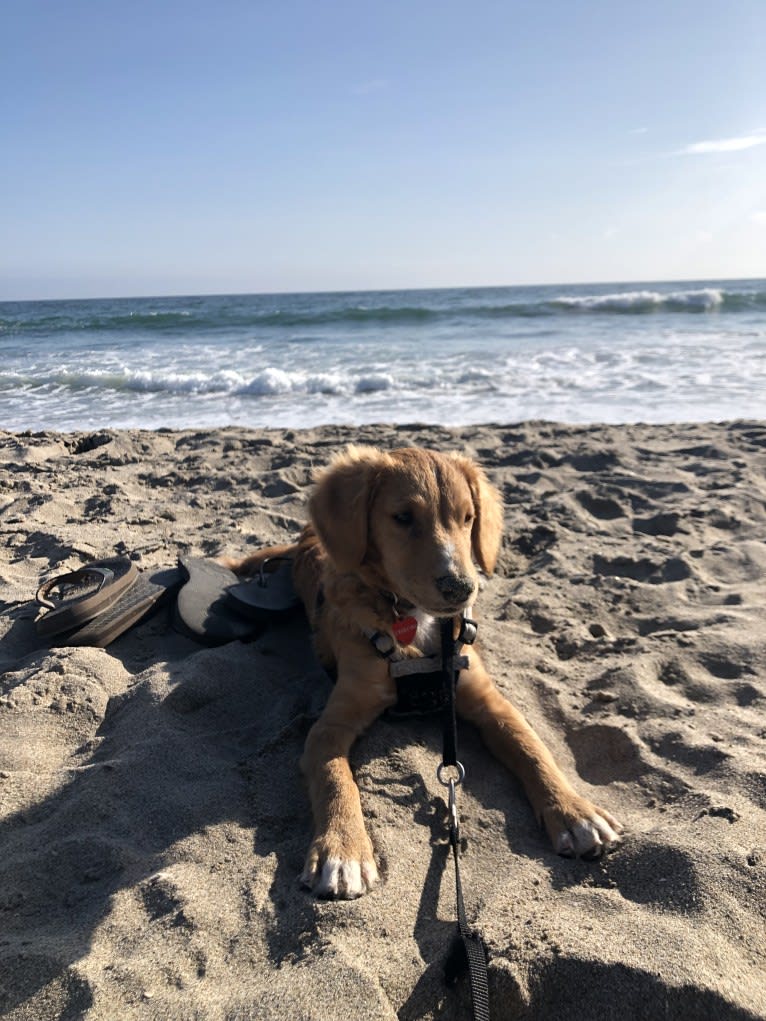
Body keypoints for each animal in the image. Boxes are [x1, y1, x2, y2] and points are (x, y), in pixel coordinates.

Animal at [224, 443, 620, 898]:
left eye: (468, 518)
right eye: (403, 517)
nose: (461, 589)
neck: (413, 622)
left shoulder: (488, 700)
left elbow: (531, 747)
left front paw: (575, 813)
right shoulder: (330, 725)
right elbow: (334, 776)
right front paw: (343, 851)